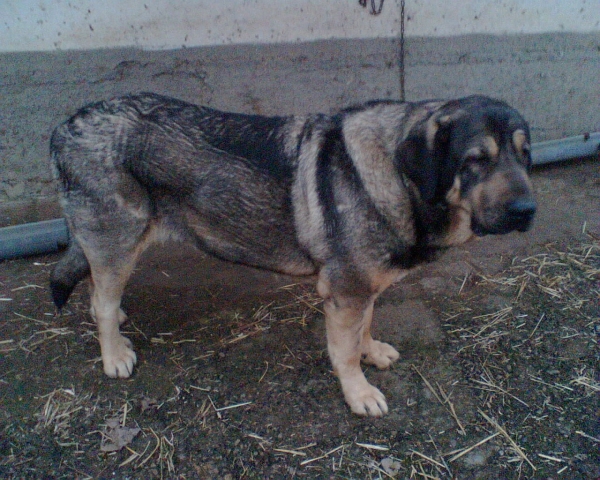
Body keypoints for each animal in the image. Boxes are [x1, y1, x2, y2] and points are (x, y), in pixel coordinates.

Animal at [48, 93, 536, 416]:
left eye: (525, 155)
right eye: (475, 160)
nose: (527, 210)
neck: (397, 176)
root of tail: (64, 128)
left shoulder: (363, 288)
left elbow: (365, 327)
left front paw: (371, 351)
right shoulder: (345, 293)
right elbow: (344, 352)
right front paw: (358, 392)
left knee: (97, 288)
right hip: (119, 240)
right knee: (101, 301)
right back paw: (113, 354)